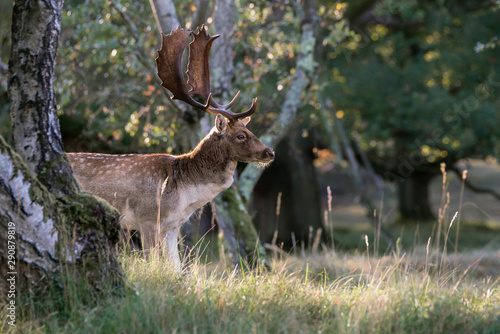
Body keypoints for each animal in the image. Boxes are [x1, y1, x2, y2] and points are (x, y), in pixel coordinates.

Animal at [67, 26, 276, 272]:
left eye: (249, 129)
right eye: (241, 135)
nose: (270, 153)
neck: (183, 194)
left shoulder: (171, 227)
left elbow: (176, 268)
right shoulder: (147, 217)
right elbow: (152, 262)